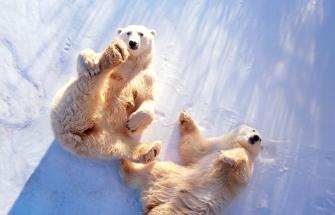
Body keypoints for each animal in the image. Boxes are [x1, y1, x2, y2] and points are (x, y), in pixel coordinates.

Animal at [50, 24, 161, 163]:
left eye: (141, 34)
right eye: (128, 33)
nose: (133, 43)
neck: (133, 63)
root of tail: (66, 136)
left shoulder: (147, 77)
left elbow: (147, 99)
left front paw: (132, 124)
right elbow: (84, 60)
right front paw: (91, 64)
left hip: (101, 140)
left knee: (120, 147)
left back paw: (151, 151)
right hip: (68, 104)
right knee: (87, 86)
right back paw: (114, 54)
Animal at [121, 111, 266, 214]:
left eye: (260, 139)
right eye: (253, 129)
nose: (256, 137)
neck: (234, 144)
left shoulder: (242, 174)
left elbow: (242, 170)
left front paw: (225, 156)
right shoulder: (212, 147)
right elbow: (194, 148)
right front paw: (185, 116)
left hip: (179, 195)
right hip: (171, 179)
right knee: (149, 171)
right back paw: (128, 161)